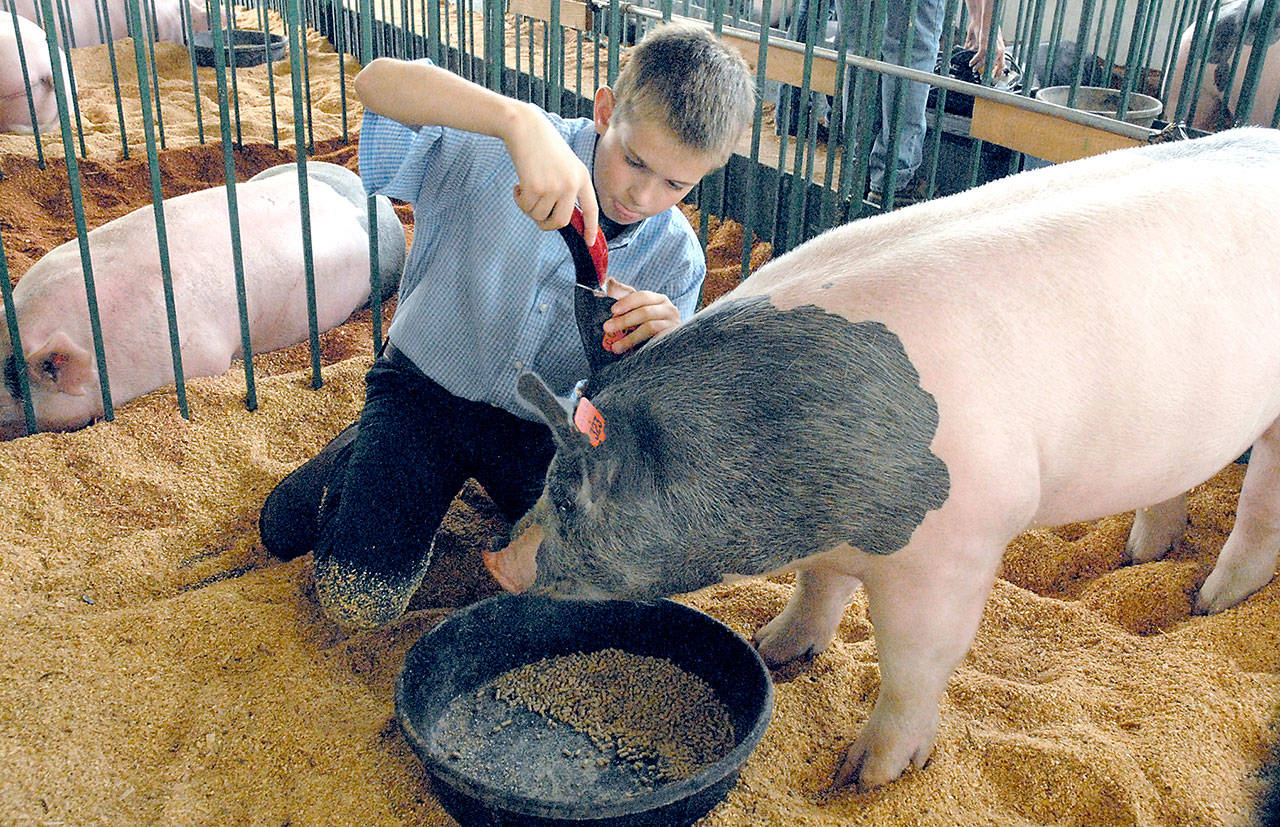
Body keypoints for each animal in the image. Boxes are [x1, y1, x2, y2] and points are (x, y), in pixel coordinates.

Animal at [486, 128, 1280, 788]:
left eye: (571, 496)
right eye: (549, 475)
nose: (499, 560)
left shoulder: (956, 545)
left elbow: (913, 662)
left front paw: (863, 776)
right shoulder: (837, 536)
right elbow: (819, 588)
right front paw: (773, 648)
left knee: (1260, 507)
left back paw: (1209, 601)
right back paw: (1142, 556)